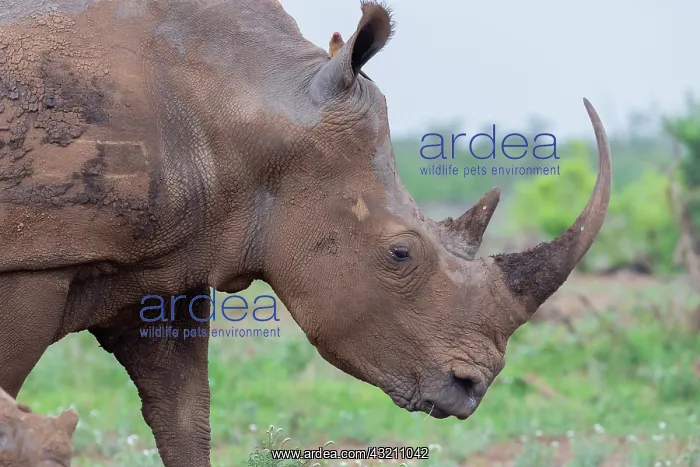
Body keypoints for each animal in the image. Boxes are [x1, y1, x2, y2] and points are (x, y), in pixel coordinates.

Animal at [0, 0, 611, 465]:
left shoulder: (170, 262)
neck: (244, 99)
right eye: (399, 254)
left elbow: (184, 417)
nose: (471, 387)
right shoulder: (32, 263)